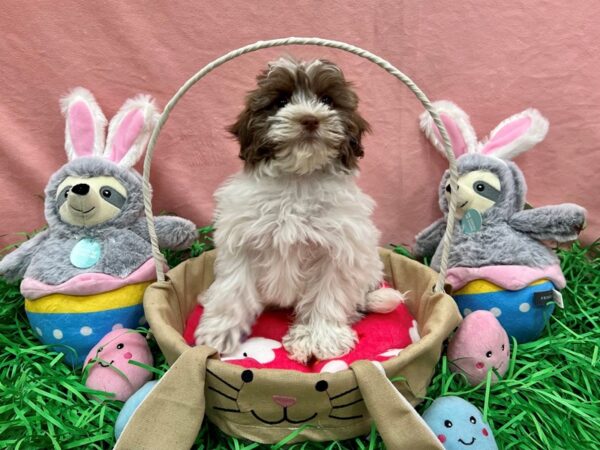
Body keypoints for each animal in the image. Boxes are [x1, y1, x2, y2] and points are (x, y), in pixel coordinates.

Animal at [197, 56, 404, 364]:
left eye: (327, 100)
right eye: (281, 101)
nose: (309, 118)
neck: (299, 180)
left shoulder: (338, 250)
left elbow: (327, 295)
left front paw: (320, 338)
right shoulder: (242, 240)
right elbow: (233, 288)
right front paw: (218, 332)